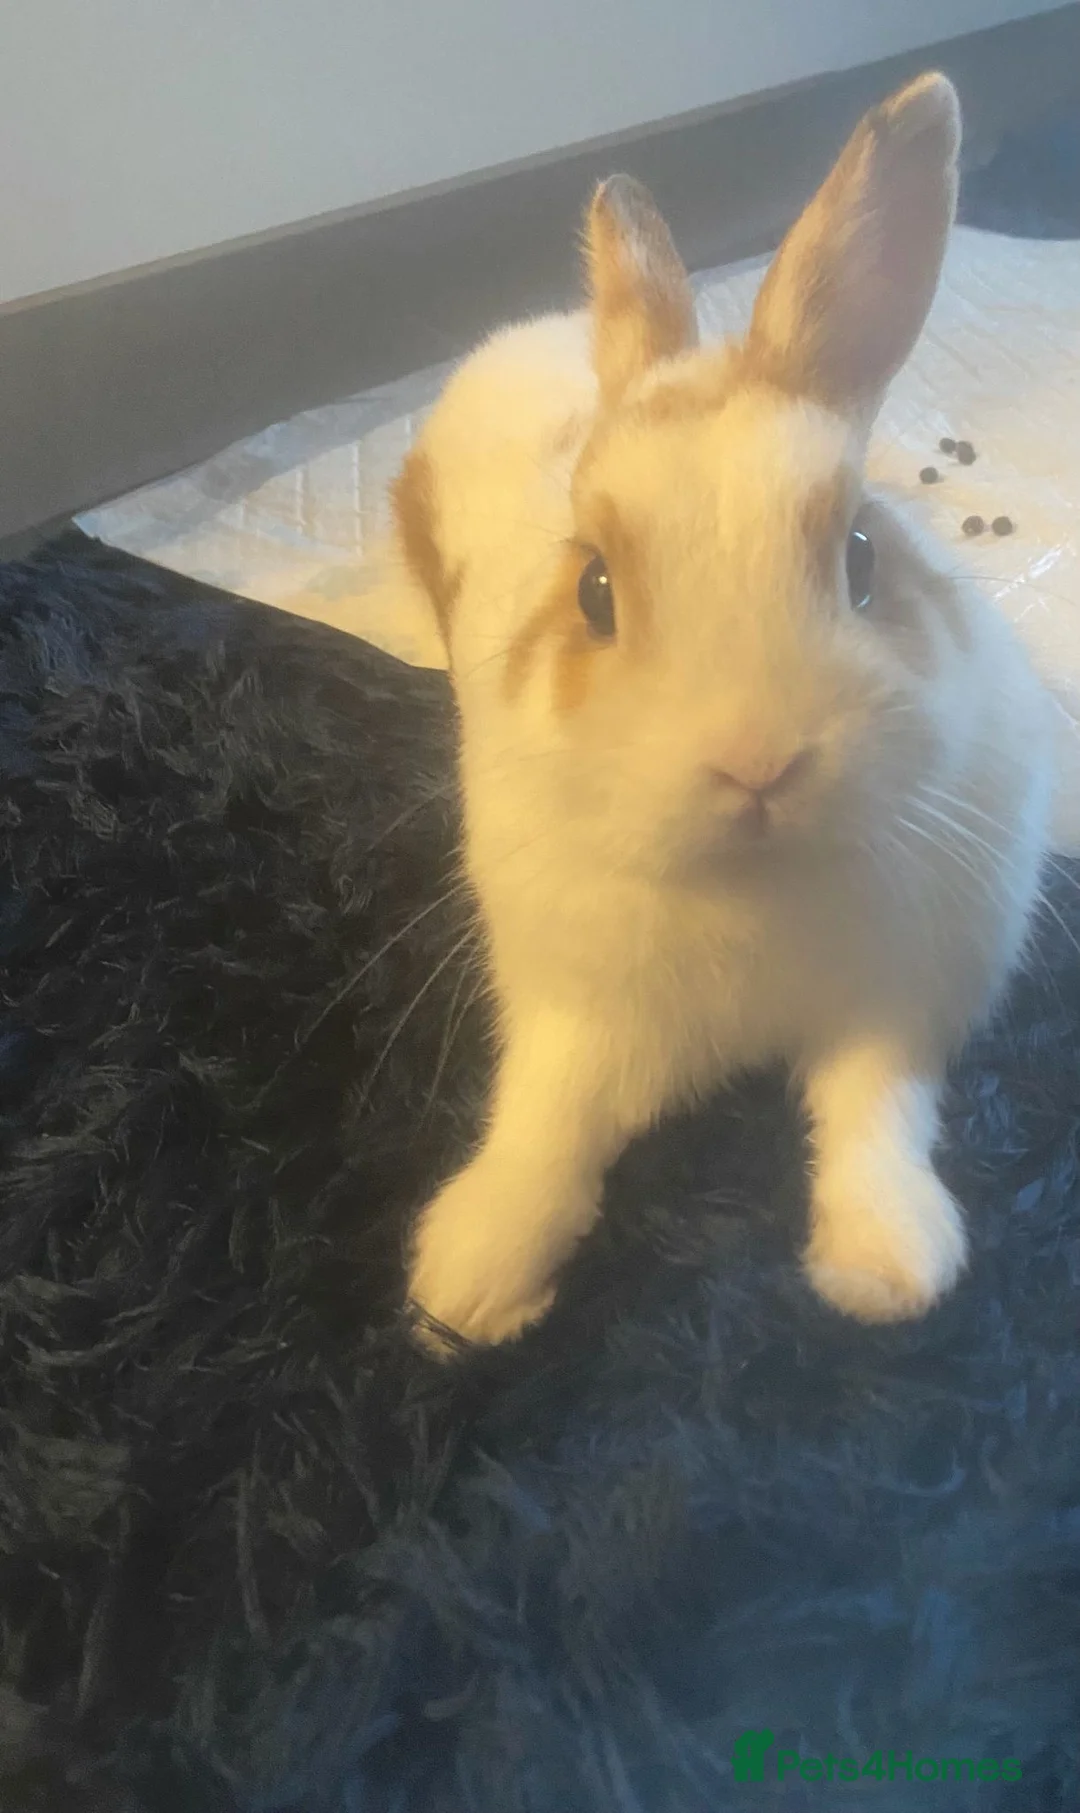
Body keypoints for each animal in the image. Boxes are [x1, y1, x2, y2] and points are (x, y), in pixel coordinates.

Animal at [380, 71, 1053, 1352]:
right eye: (594, 590)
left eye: (860, 559)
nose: (757, 764)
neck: (755, 886)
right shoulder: (575, 1015)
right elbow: (547, 1125)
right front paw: (471, 1286)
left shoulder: (894, 1004)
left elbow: (874, 1108)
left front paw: (885, 1266)